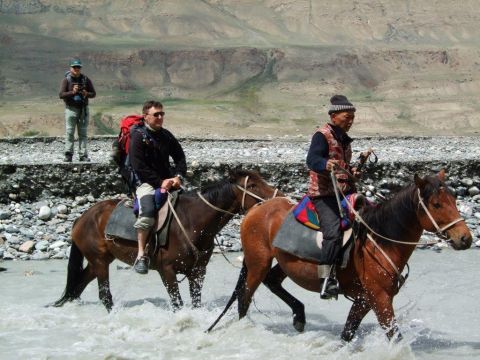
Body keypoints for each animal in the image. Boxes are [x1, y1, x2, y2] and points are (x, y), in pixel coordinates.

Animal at [52, 170, 278, 310]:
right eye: (253, 185)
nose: (279, 197)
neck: (192, 222)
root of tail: (82, 218)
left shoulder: (198, 272)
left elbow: (195, 302)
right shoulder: (167, 271)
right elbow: (177, 304)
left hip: (98, 261)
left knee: (78, 286)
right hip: (99, 261)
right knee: (104, 295)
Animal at [209, 170, 472, 342]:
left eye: (454, 199)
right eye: (436, 204)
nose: (465, 238)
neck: (380, 240)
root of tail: (255, 209)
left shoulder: (364, 299)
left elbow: (347, 333)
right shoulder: (380, 298)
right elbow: (395, 336)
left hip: (283, 263)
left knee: (271, 282)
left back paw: (299, 316)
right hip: (258, 263)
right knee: (244, 300)